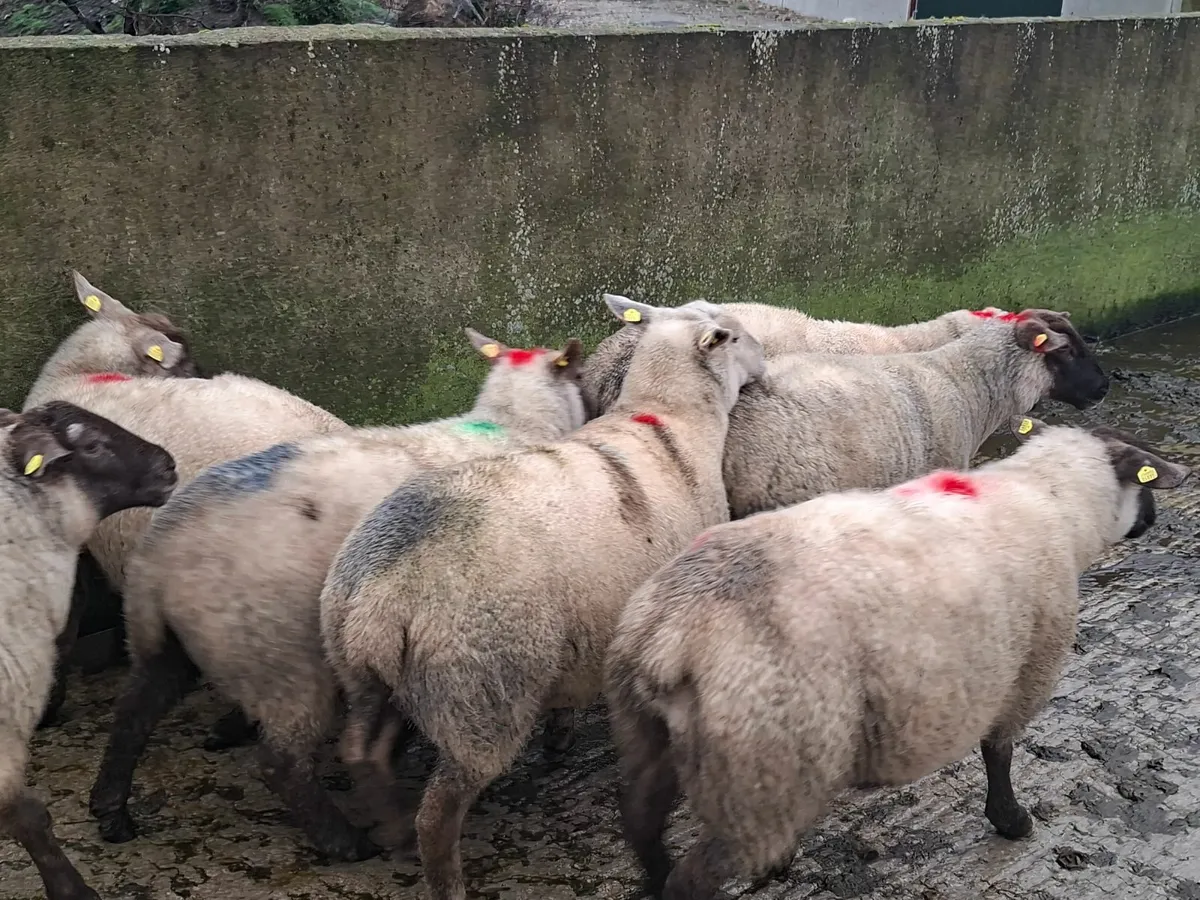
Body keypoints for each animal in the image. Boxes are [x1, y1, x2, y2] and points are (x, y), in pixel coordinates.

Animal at [88, 332, 591, 862]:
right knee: (281, 762)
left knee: (134, 710)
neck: (512, 423)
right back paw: (343, 841)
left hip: (159, 637)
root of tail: (161, 556)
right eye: (580, 375)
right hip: (280, 662)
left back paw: (111, 808)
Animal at [318, 295, 766, 900]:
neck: (668, 421)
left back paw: (389, 827)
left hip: (373, 675)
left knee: (361, 750)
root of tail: (374, 598)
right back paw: (442, 875)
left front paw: (560, 735)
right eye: (735, 335)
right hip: (480, 689)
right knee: (439, 812)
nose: (766, 361)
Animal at [604, 416, 1189, 900]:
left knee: (641, 823)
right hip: (762, 762)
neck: (1054, 500)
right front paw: (1011, 820)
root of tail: (670, 633)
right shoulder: (1027, 668)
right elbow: (999, 753)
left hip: (653, 734)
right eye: (1145, 483)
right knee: (693, 878)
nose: (1153, 522)